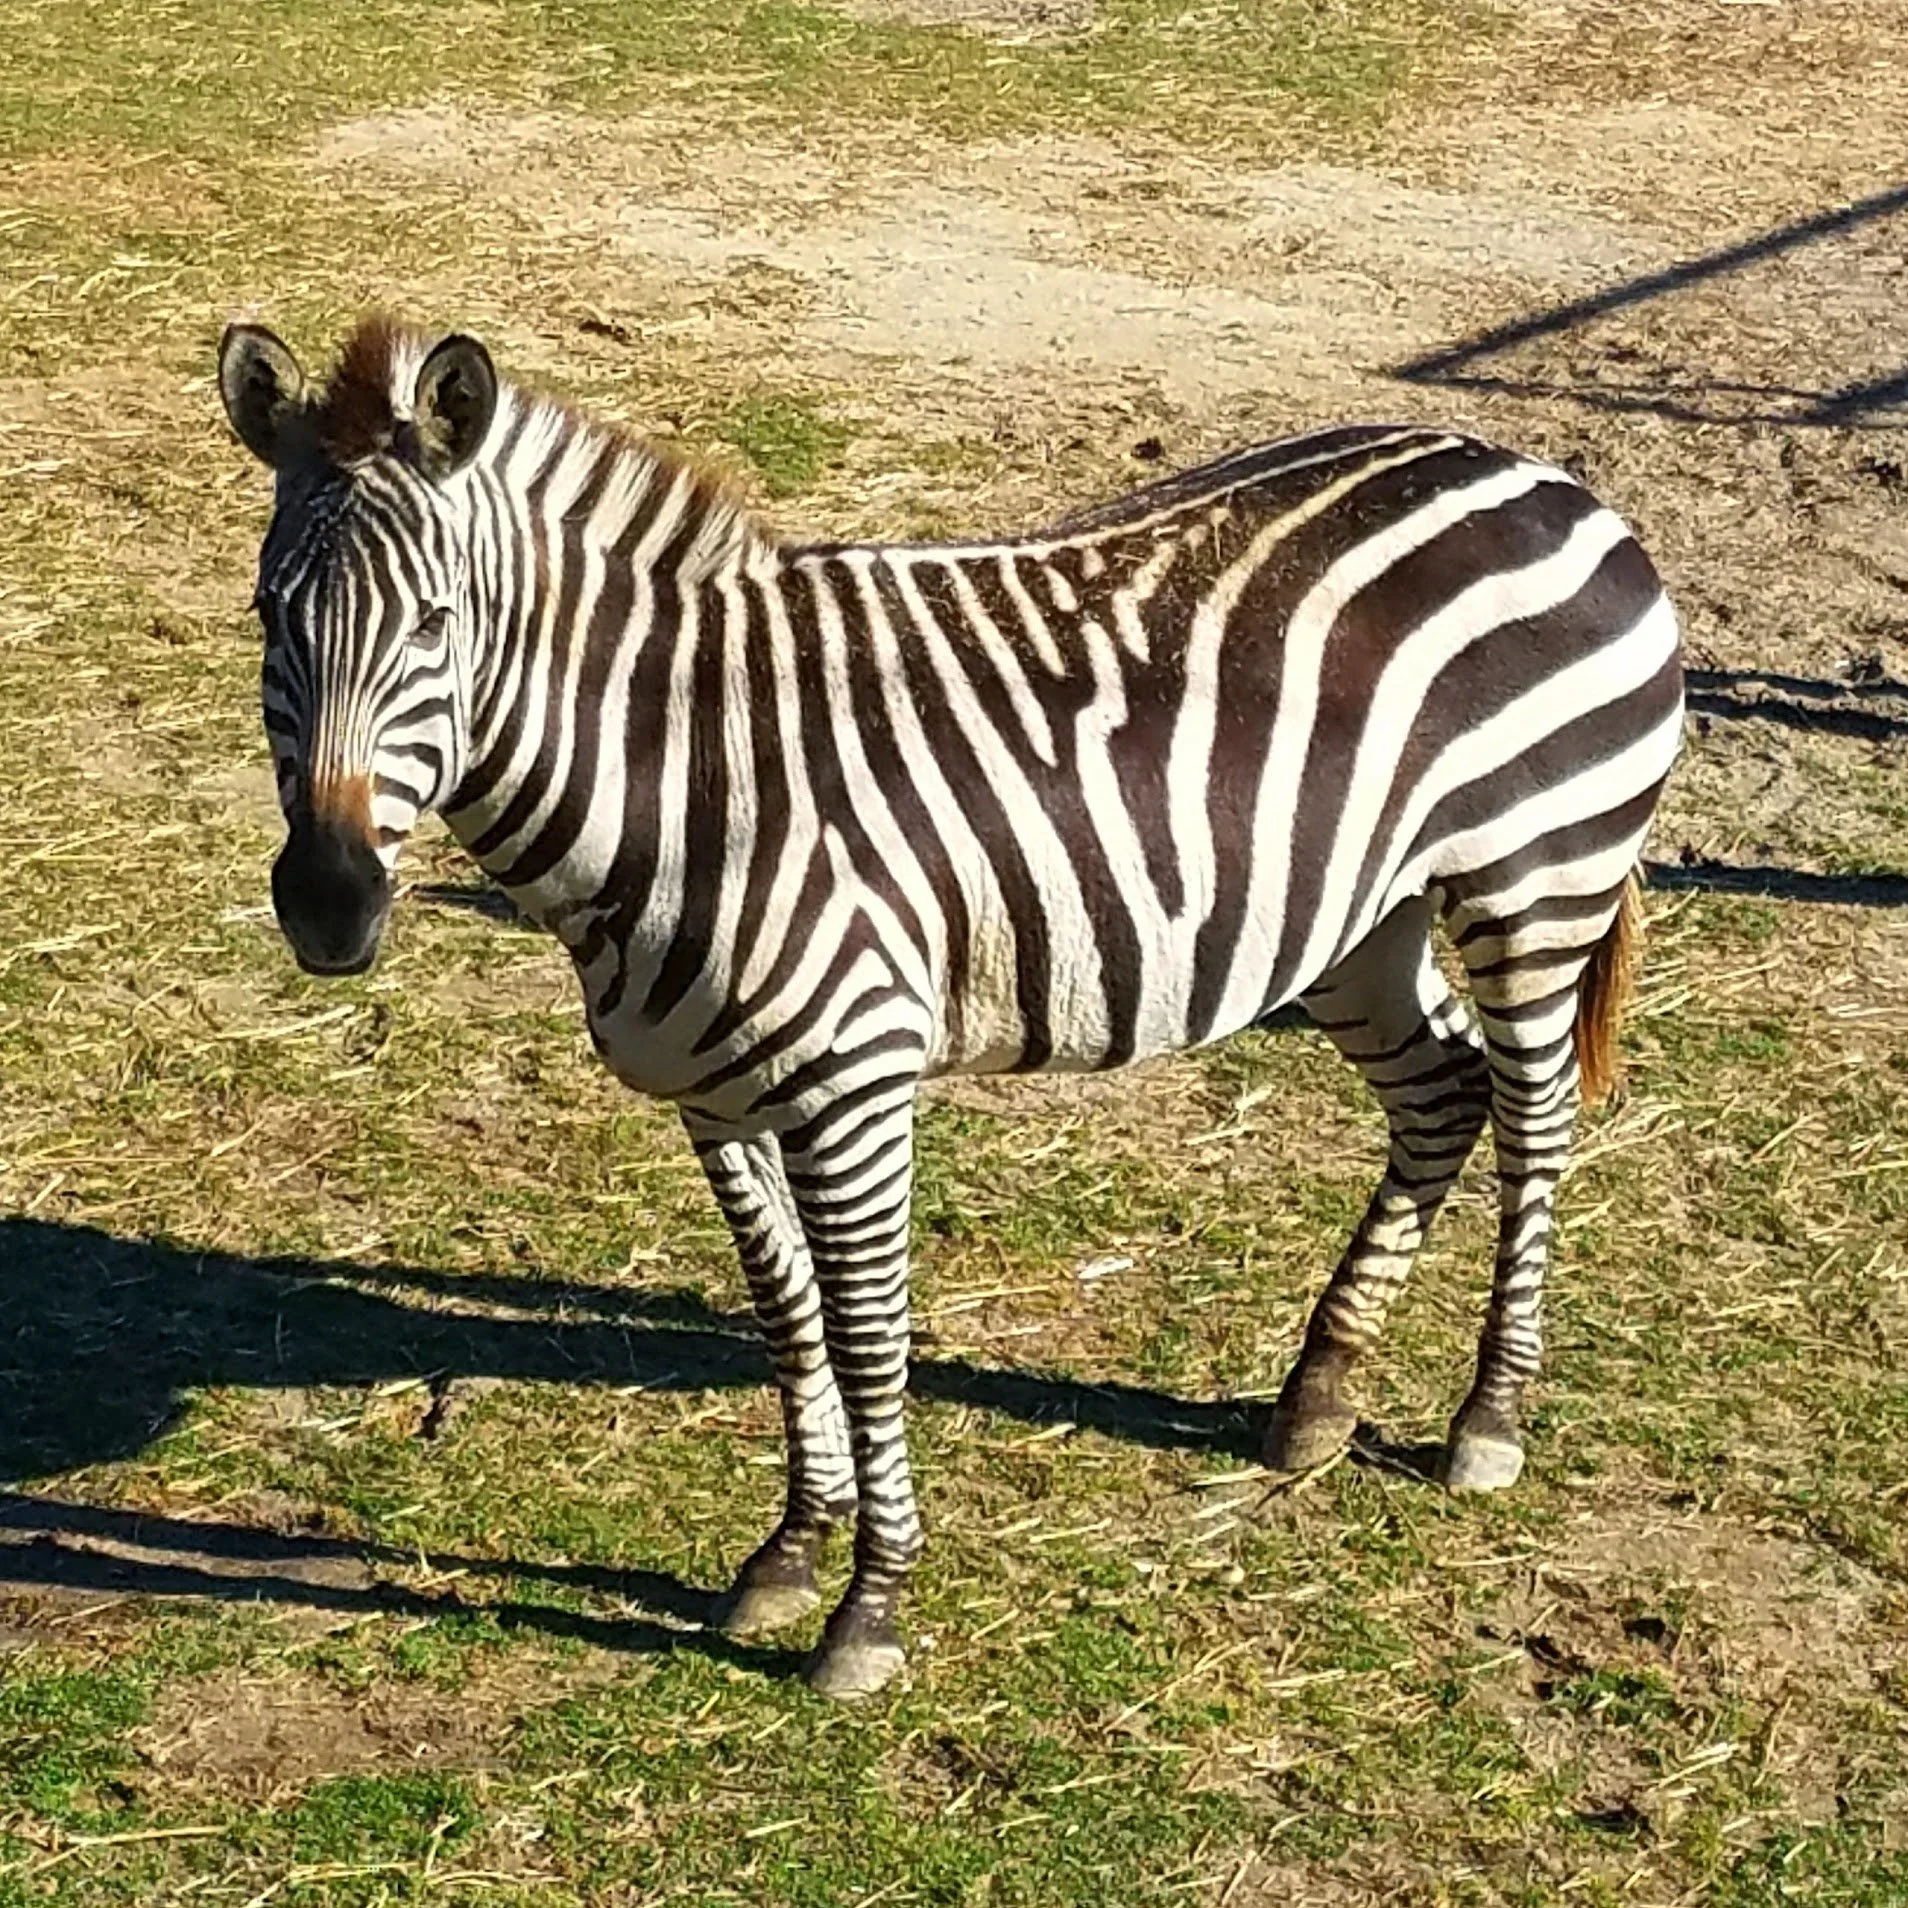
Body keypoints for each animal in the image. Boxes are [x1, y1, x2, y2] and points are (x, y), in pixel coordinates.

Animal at [218, 315, 1684, 1700]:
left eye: (433, 626)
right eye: (266, 619)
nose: (330, 905)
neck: (684, 775)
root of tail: (1541, 475)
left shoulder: (854, 1087)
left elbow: (869, 1340)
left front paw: (870, 1612)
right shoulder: (712, 1096)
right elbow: (788, 1317)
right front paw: (789, 1554)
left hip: (1534, 882)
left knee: (1536, 1121)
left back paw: (1488, 1420)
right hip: (1352, 921)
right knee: (1443, 1093)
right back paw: (1318, 1398)